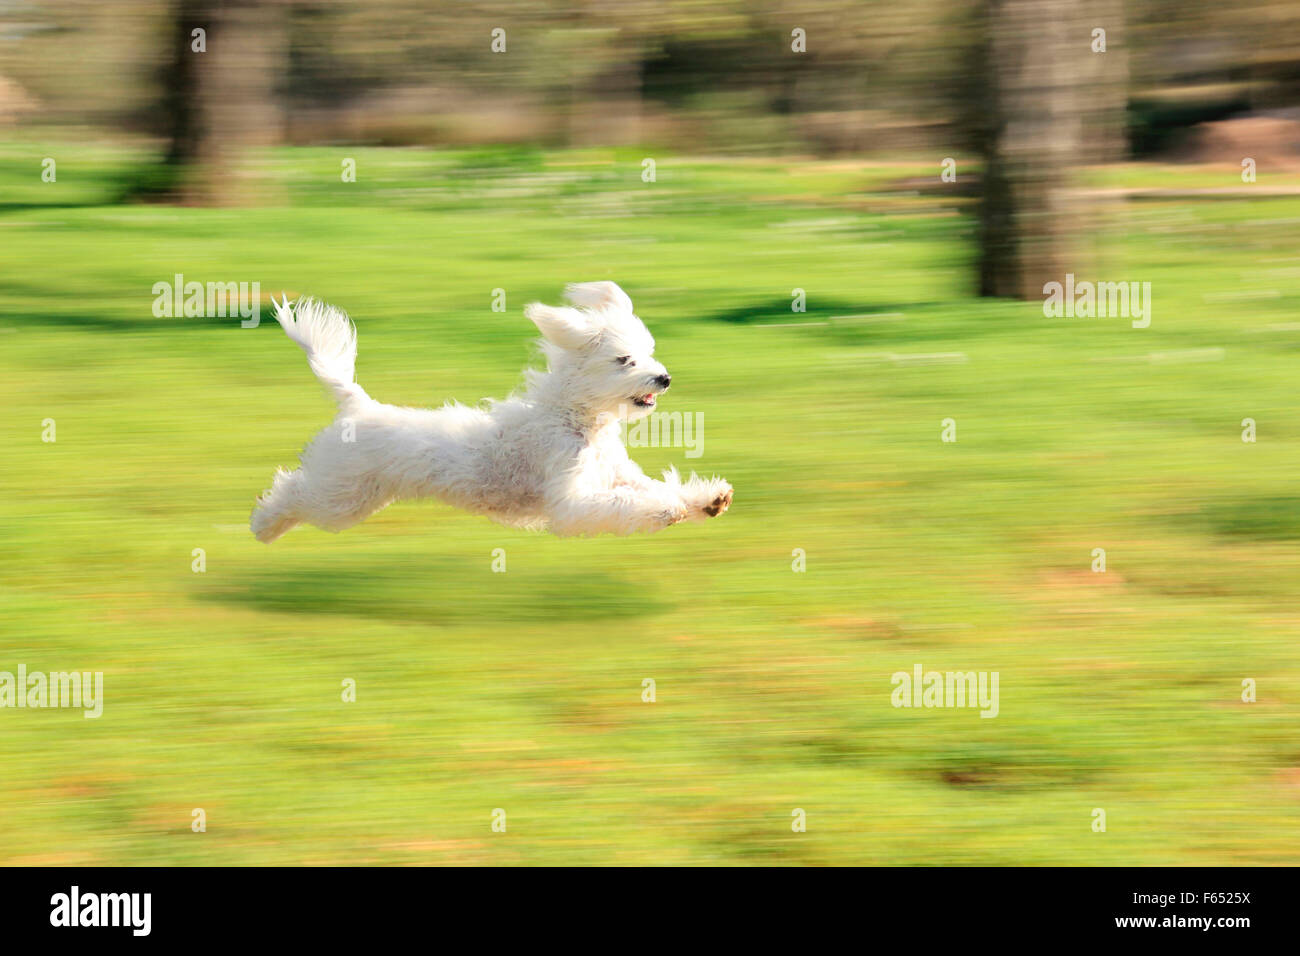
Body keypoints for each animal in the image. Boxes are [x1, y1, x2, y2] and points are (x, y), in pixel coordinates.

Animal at [245, 280, 733, 541]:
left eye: (649, 353)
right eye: (624, 360)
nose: (664, 378)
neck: (572, 419)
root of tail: (358, 405)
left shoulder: (615, 472)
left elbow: (653, 485)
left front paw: (707, 499)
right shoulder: (570, 498)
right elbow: (622, 503)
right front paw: (664, 509)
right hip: (342, 495)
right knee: (292, 490)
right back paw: (263, 525)